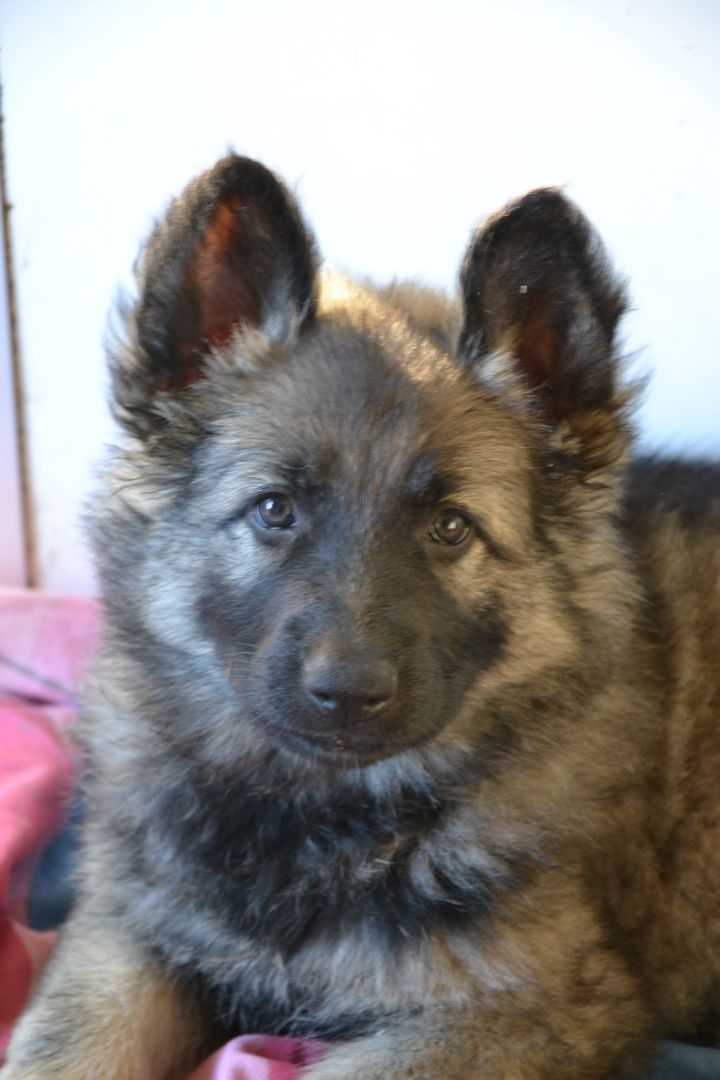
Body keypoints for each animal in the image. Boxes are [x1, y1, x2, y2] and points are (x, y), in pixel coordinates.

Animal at [5, 155, 720, 1079]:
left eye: (450, 527)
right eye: (276, 510)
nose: (346, 693)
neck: (319, 813)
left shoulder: (528, 1007)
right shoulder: (130, 938)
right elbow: (62, 1046)